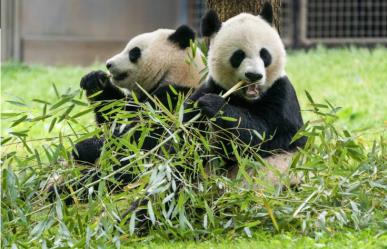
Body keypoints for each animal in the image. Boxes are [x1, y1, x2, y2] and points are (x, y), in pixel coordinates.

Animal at [183, 1, 308, 185]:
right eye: (238, 55)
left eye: (264, 54)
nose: (254, 75)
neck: (248, 99)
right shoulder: (213, 86)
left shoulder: (281, 95)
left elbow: (263, 135)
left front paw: (214, 104)